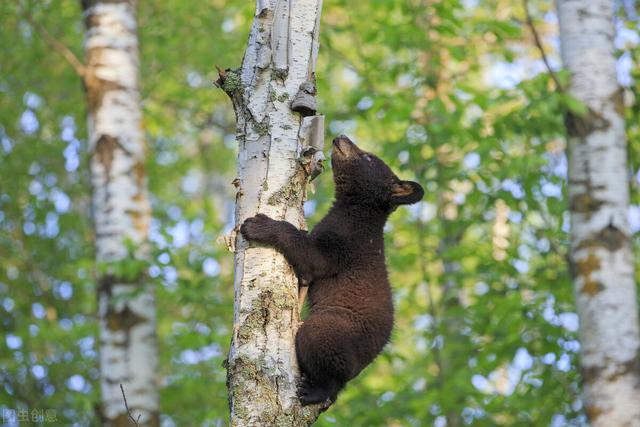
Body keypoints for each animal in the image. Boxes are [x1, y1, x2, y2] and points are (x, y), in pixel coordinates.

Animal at [240, 135, 424, 406]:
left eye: (369, 157)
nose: (341, 137)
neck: (356, 212)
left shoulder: (344, 244)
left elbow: (311, 257)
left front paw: (258, 224)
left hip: (333, 329)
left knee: (322, 352)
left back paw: (315, 391)